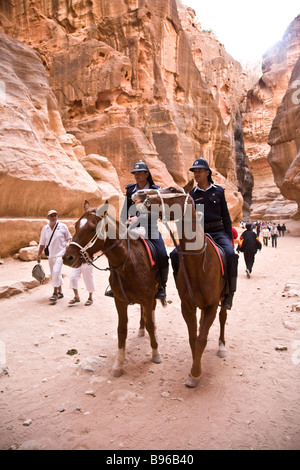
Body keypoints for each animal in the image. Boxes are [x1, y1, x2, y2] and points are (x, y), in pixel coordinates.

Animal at [62, 202, 163, 378]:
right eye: (75, 226)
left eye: (91, 229)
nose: (68, 257)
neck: (127, 263)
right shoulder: (119, 300)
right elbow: (121, 330)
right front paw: (118, 365)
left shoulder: (148, 297)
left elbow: (151, 324)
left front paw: (155, 354)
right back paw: (141, 329)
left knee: (151, 313)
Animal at [134, 187, 227, 390]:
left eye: (172, 189)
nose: (140, 193)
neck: (199, 262)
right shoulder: (187, 305)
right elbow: (194, 338)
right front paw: (195, 369)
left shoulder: (212, 305)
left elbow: (201, 339)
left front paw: (196, 373)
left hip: (224, 298)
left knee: (223, 318)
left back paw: (222, 346)